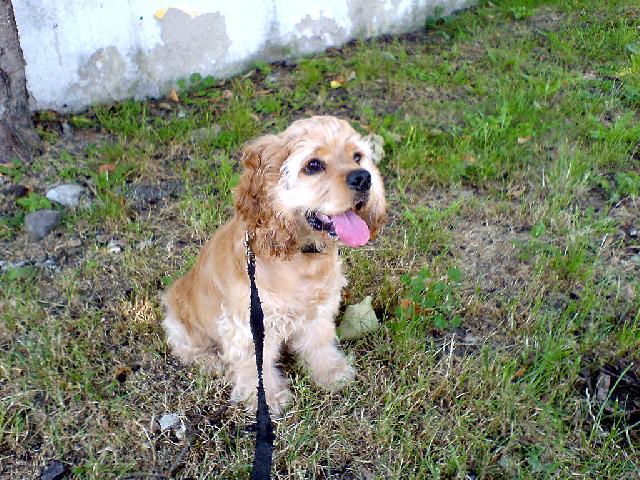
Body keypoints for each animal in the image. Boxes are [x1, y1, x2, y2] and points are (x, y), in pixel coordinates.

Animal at [162, 115, 388, 412]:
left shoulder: (319, 308)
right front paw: (267, 399)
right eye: (313, 165)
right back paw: (212, 362)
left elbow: (320, 342)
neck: (301, 257)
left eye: (357, 156)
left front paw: (332, 373)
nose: (363, 178)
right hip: (180, 319)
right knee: (187, 348)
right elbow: (254, 365)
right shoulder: (249, 323)